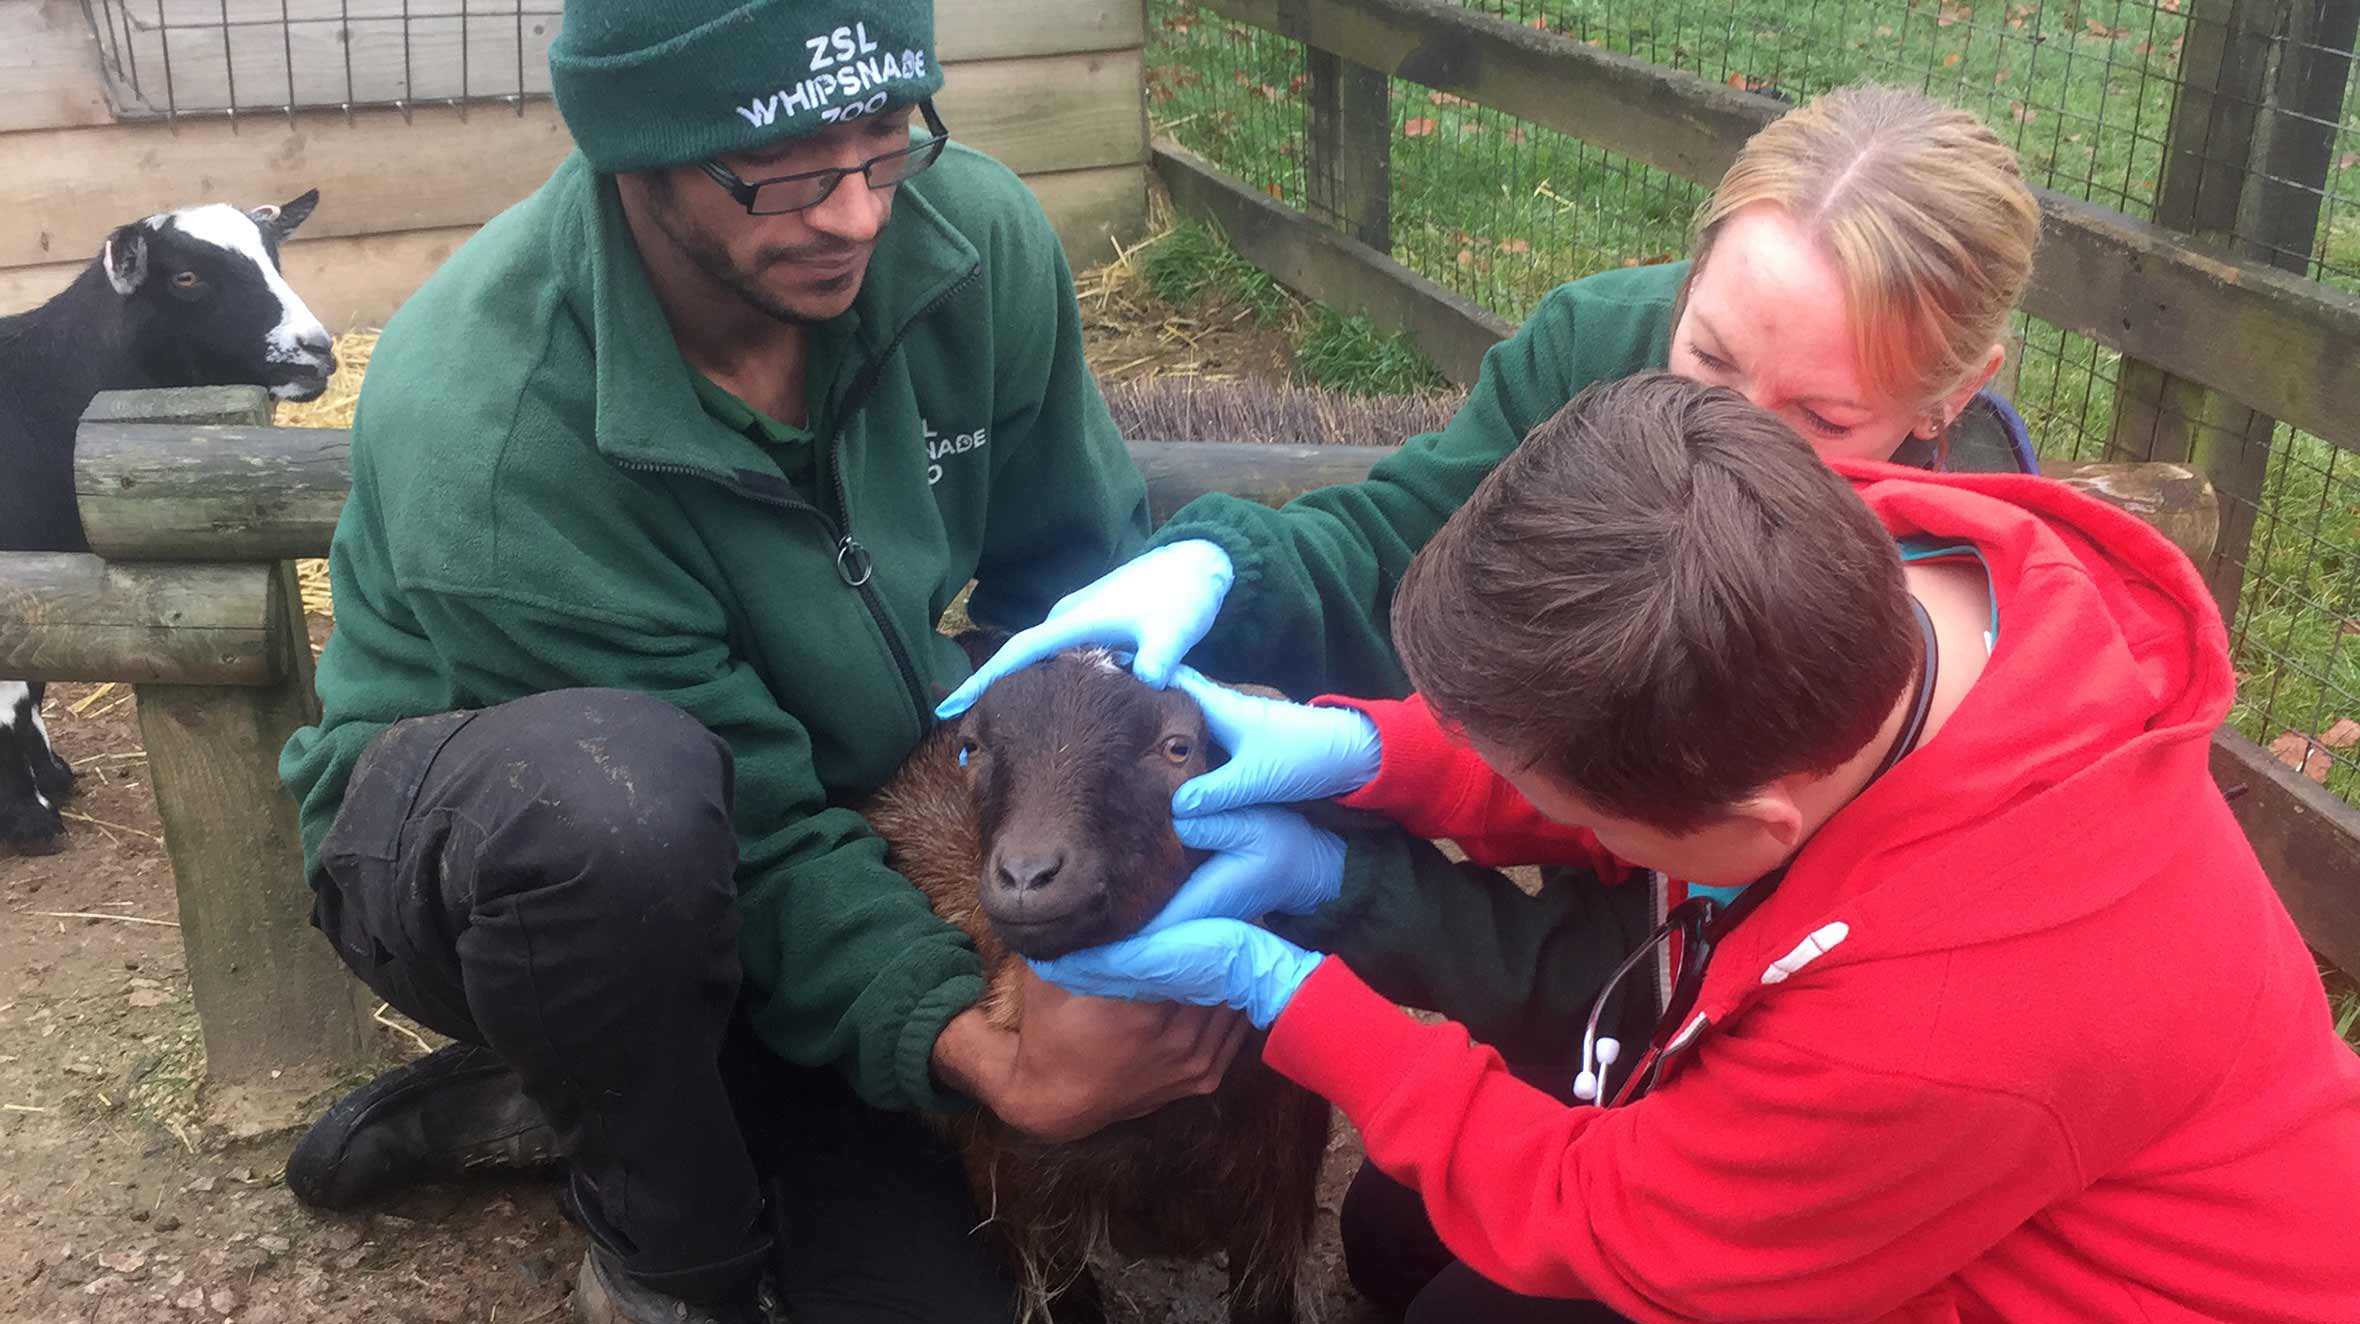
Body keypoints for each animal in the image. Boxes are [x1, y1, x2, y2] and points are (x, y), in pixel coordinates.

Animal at [0, 188, 342, 844]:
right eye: (186, 278)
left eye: (275, 259)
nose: (316, 350)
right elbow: (12, 696)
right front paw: (28, 820)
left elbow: (31, 681)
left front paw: (52, 779)